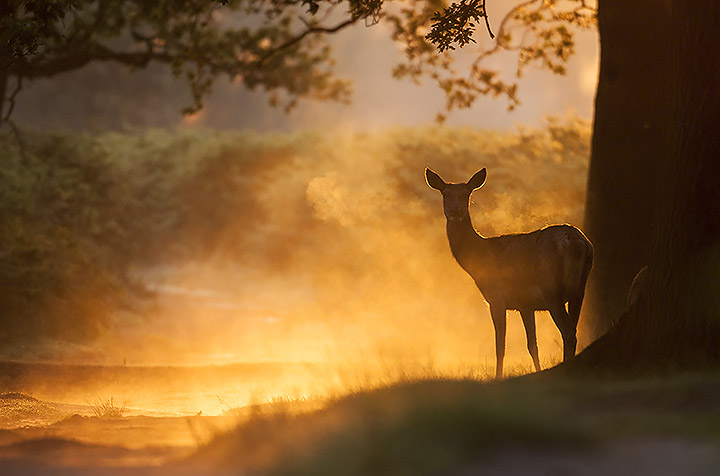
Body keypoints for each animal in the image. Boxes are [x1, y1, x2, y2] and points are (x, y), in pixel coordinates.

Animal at [426, 167, 593, 379]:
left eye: (466, 194)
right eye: (445, 194)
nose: (456, 211)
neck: (480, 256)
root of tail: (578, 243)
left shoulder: (496, 296)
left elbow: (500, 346)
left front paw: (497, 377)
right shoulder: (525, 305)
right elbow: (532, 345)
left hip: (551, 289)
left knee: (568, 332)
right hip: (580, 289)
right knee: (573, 329)